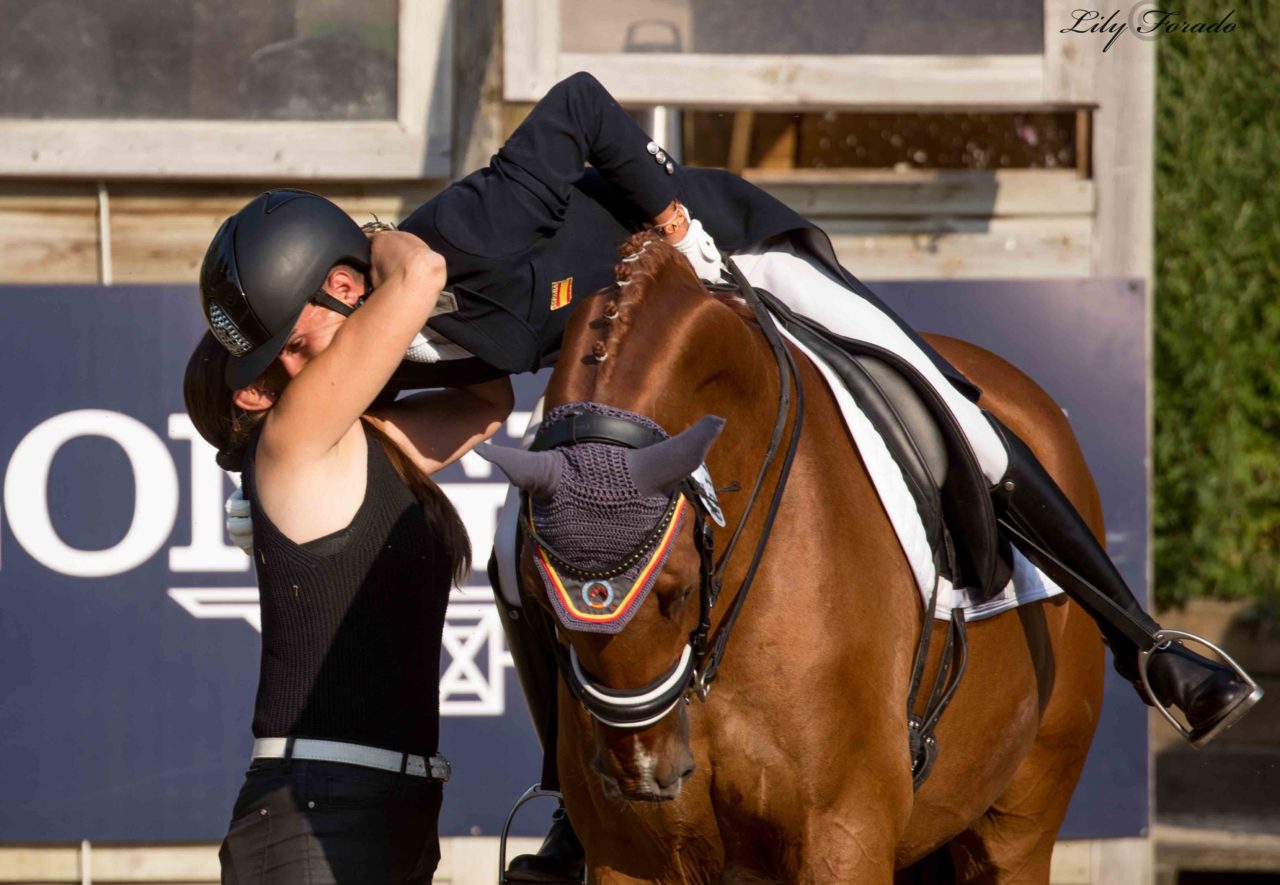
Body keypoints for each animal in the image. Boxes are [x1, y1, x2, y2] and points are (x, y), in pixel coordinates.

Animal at [496, 236, 1100, 885]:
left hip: (1024, 812)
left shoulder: (843, 837)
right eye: (537, 599)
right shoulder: (630, 858)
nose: (642, 775)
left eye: (676, 591)